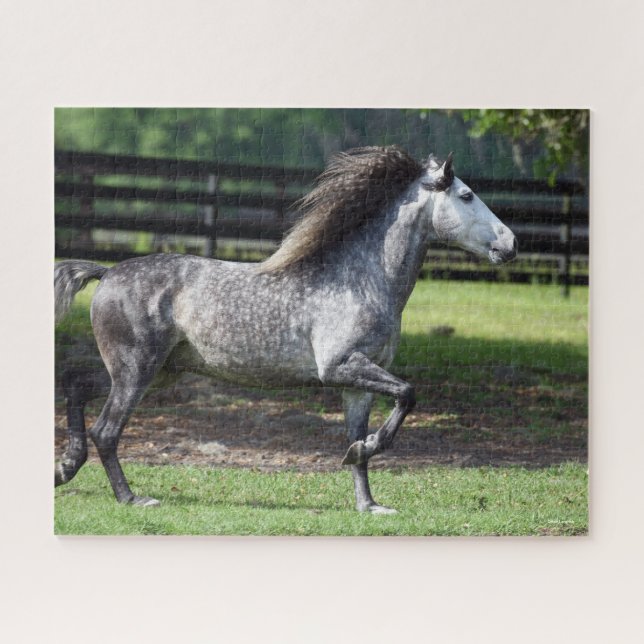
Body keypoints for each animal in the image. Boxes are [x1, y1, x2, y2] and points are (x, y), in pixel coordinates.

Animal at [54, 146, 517, 514]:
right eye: (467, 195)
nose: (511, 244)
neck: (361, 279)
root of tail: (108, 272)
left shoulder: (358, 384)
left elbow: (367, 433)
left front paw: (368, 502)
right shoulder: (340, 367)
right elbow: (407, 393)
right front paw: (362, 453)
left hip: (153, 371)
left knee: (77, 387)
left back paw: (65, 467)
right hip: (138, 370)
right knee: (107, 430)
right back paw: (131, 498)